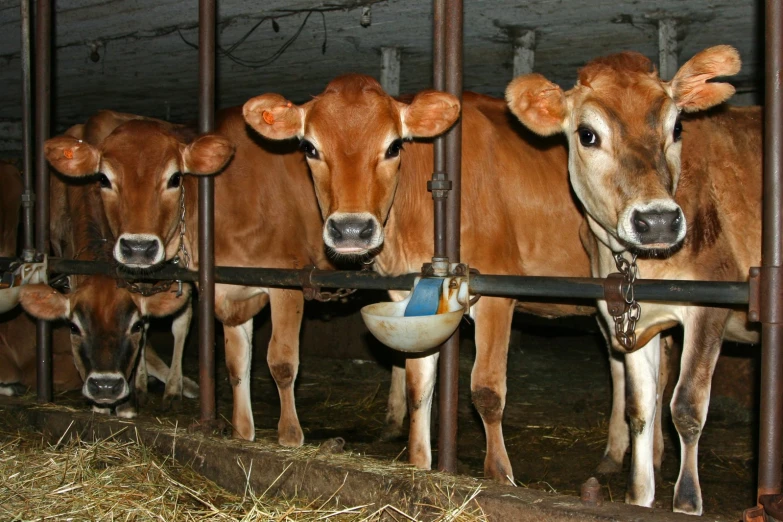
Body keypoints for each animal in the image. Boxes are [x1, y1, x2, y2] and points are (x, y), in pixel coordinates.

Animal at [245, 77, 596, 484]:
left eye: (394, 146)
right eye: (309, 147)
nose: (351, 230)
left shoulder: (495, 292)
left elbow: (487, 390)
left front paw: (499, 474)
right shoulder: (412, 297)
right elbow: (418, 387)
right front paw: (419, 461)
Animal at [508, 45, 760, 512]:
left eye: (677, 126)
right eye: (587, 134)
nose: (657, 221)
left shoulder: (711, 304)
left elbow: (687, 406)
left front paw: (687, 503)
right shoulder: (632, 317)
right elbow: (641, 408)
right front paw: (639, 497)